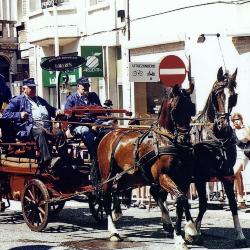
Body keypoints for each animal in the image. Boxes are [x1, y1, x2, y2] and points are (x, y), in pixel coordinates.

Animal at [96, 83, 196, 248]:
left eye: (191, 108)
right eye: (175, 109)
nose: (184, 139)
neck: (165, 139)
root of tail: (109, 134)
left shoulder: (182, 178)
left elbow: (182, 201)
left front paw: (189, 229)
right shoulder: (163, 176)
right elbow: (180, 199)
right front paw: (181, 237)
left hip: (130, 176)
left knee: (119, 189)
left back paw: (119, 212)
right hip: (108, 175)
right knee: (106, 197)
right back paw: (113, 231)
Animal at [188, 67, 247, 247]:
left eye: (233, 96)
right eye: (217, 93)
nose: (223, 125)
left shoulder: (227, 175)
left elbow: (233, 204)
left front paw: (240, 235)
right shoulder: (200, 177)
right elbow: (203, 204)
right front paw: (195, 232)